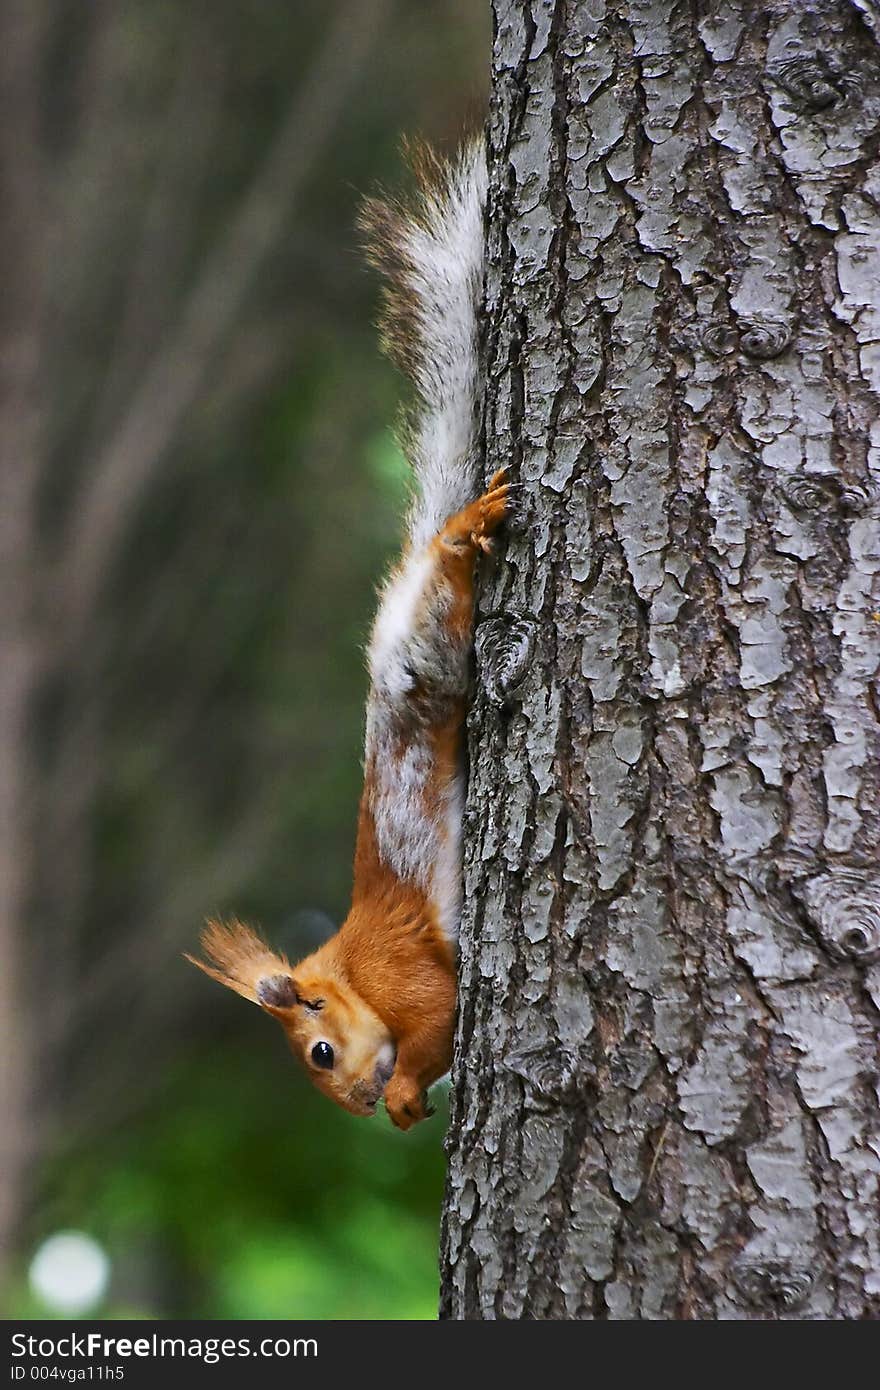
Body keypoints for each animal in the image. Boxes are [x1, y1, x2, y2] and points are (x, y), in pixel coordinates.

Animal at [184, 138, 503, 1128]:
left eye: (320, 1051)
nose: (357, 1104)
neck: (349, 973)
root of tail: (390, 612)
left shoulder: (408, 976)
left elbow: (436, 1021)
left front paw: (402, 1094)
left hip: (432, 648)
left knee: (446, 577)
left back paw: (463, 528)